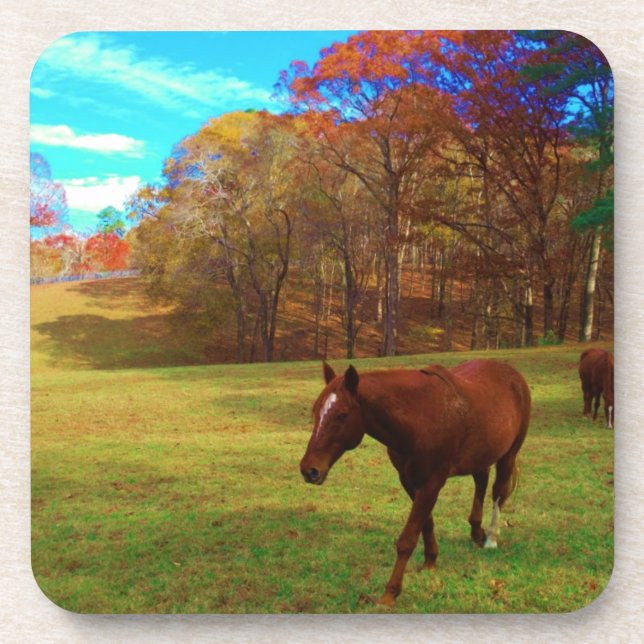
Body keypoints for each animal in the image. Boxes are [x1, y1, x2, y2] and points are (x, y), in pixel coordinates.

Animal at [299, 359, 531, 607]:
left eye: (342, 415)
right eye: (316, 411)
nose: (309, 470)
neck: (419, 417)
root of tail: (512, 374)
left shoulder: (432, 483)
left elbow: (407, 539)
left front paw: (390, 593)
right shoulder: (409, 481)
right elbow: (425, 524)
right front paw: (430, 562)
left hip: (509, 454)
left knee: (498, 492)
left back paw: (491, 539)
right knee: (481, 481)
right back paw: (477, 532)